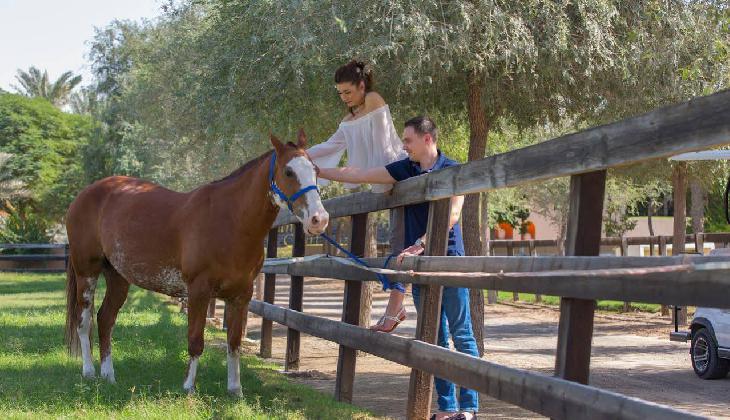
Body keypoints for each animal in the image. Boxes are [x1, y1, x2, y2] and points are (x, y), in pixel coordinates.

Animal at [64, 130, 326, 396]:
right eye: (289, 172)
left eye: (315, 170)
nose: (319, 219)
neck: (231, 221)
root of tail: (84, 195)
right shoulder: (199, 291)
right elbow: (195, 341)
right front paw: (188, 387)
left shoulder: (241, 295)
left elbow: (234, 343)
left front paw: (235, 390)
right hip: (87, 271)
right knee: (84, 322)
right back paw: (89, 372)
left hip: (118, 277)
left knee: (105, 320)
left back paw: (109, 375)